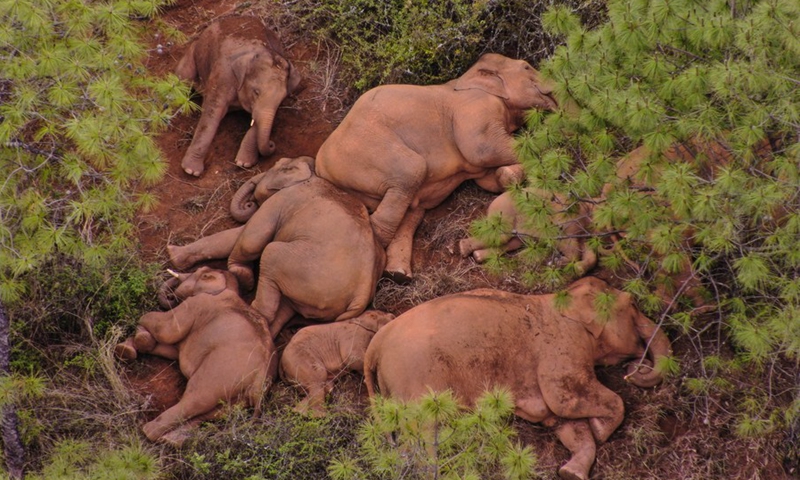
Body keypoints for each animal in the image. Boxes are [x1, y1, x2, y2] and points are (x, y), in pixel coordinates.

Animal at [114, 267, 277, 446]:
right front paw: (126, 349)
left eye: (199, 271)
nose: (171, 296)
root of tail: (259, 385)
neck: (227, 288)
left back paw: (148, 431)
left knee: (194, 399)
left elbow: (164, 329)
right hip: (237, 399)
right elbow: (170, 349)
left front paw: (135, 342)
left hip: (219, 376)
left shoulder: (195, 304)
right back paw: (172, 441)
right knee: (208, 413)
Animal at [166, 156, 386, 338]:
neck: (310, 174)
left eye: (275, 165)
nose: (249, 203)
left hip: (301, 268)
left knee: (269, 255)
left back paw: (253, 309)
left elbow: (250, 238)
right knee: (287, 307)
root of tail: (361, 296)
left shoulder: (282, 200)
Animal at [175, 15, 301, 176]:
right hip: (193, 53)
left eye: (282, 98)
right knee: (182, 77)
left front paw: (244, 163)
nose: (272, 144)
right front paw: (191, 171)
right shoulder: (223, 76)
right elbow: (212, 113)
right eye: (256, 92)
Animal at [314, 53, 557, 281]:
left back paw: (398, 274)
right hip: (362, 150)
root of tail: (320, 166)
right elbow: (481, 149)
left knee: (413, 210)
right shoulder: (475, 108)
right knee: (411, 171)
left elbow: (487, 178)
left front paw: (507, 175)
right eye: (527, 66)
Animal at [363, 276, 672, 480]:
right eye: (633, 303)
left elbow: (563, 421)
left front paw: (570, 472)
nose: (636, 367)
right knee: (424, 436)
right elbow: (565, 400)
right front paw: (601, 429)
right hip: (413, 381)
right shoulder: (563, 345)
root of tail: (375, 344)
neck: (561, 299)